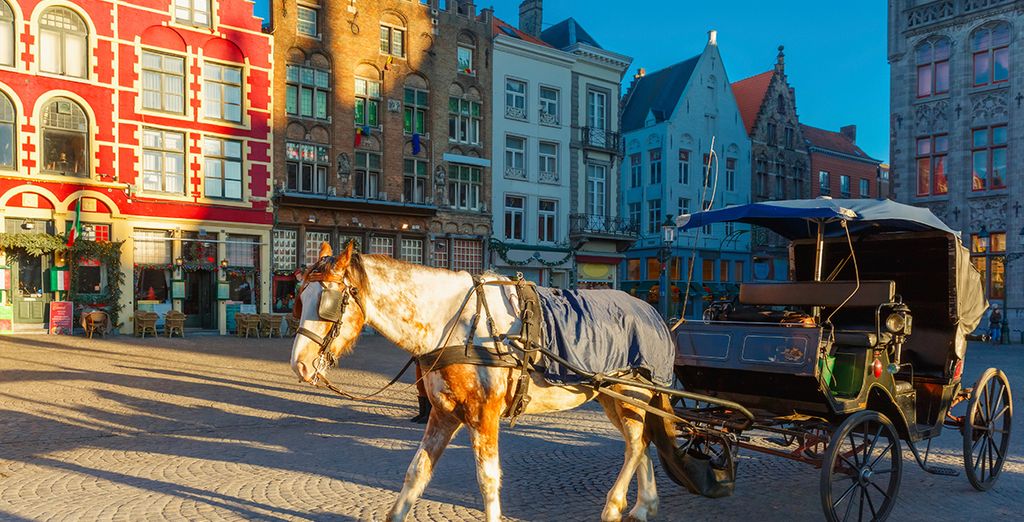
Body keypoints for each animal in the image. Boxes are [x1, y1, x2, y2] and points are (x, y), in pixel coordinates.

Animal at [288, 242, 679, 519]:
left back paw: (614, 506)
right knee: (640, 441)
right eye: (298, 300)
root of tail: (652, 310)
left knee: (636, 444)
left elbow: (488, 481)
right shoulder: (443, 414)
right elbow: (416, 472)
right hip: (613, 398)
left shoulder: (483, 416)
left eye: (328, 304)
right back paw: (643, 506)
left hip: (631, 392)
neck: (454, 323)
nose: (300, 365)